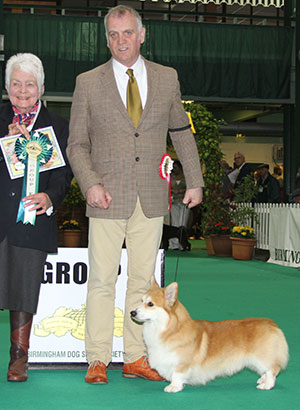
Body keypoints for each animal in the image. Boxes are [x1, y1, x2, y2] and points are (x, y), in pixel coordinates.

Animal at [131, 278, 288, 394]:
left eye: (150, 304)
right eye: (141, 301)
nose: (132, 312)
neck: (170, 329)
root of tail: (272, 323)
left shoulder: (182, 364)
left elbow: (177, 375)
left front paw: (173, 387)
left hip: (261, 357)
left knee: (272, 370)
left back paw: (267, 385)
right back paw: (262, 379)